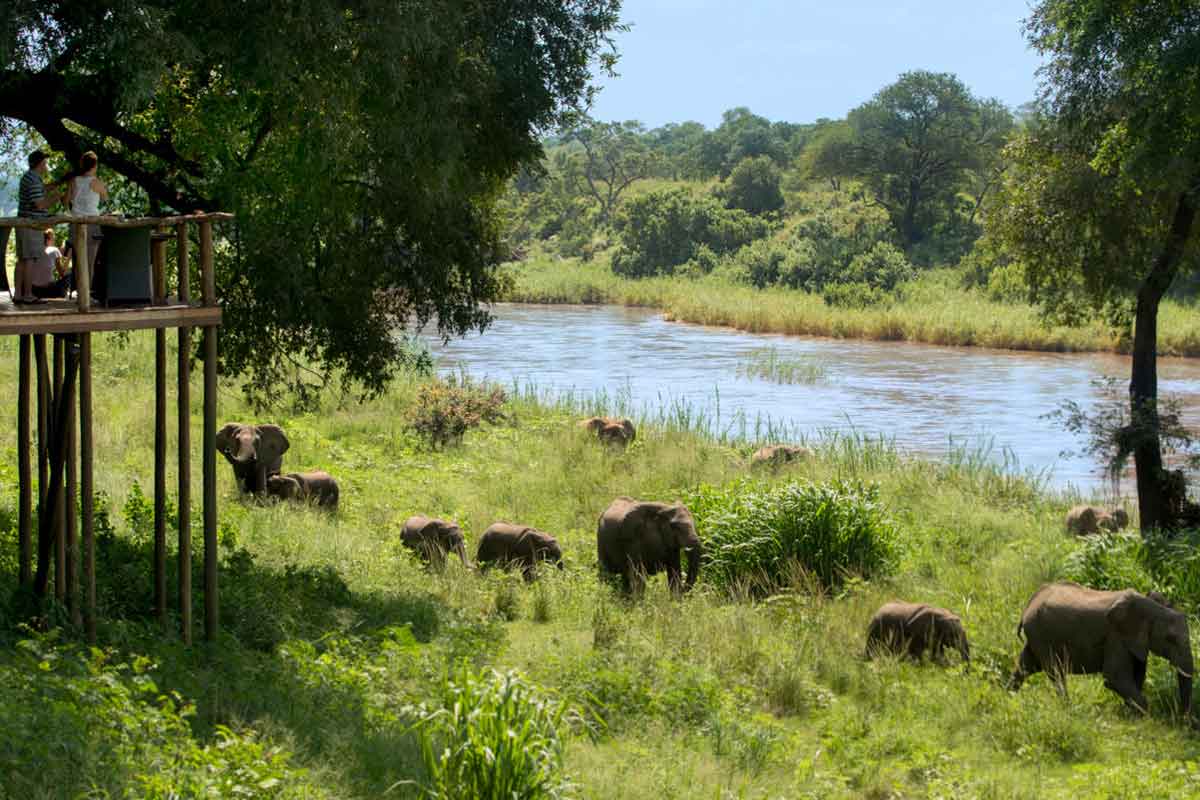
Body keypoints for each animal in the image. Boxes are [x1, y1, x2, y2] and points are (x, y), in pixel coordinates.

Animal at [1008, 578, 1195, 714]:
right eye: (1170, 639)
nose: (1182, 718)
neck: (1153, 608)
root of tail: (1029, 605)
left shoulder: (1135, 641)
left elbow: (1138, 675)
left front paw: (1131, 713)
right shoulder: (1116, 636)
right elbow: (1114, 677)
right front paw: (1145, 716)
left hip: (1036, 635)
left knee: (1025, 666)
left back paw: (1007, 697)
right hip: (1041, 634)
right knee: (1055, 671)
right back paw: (1068, 708)